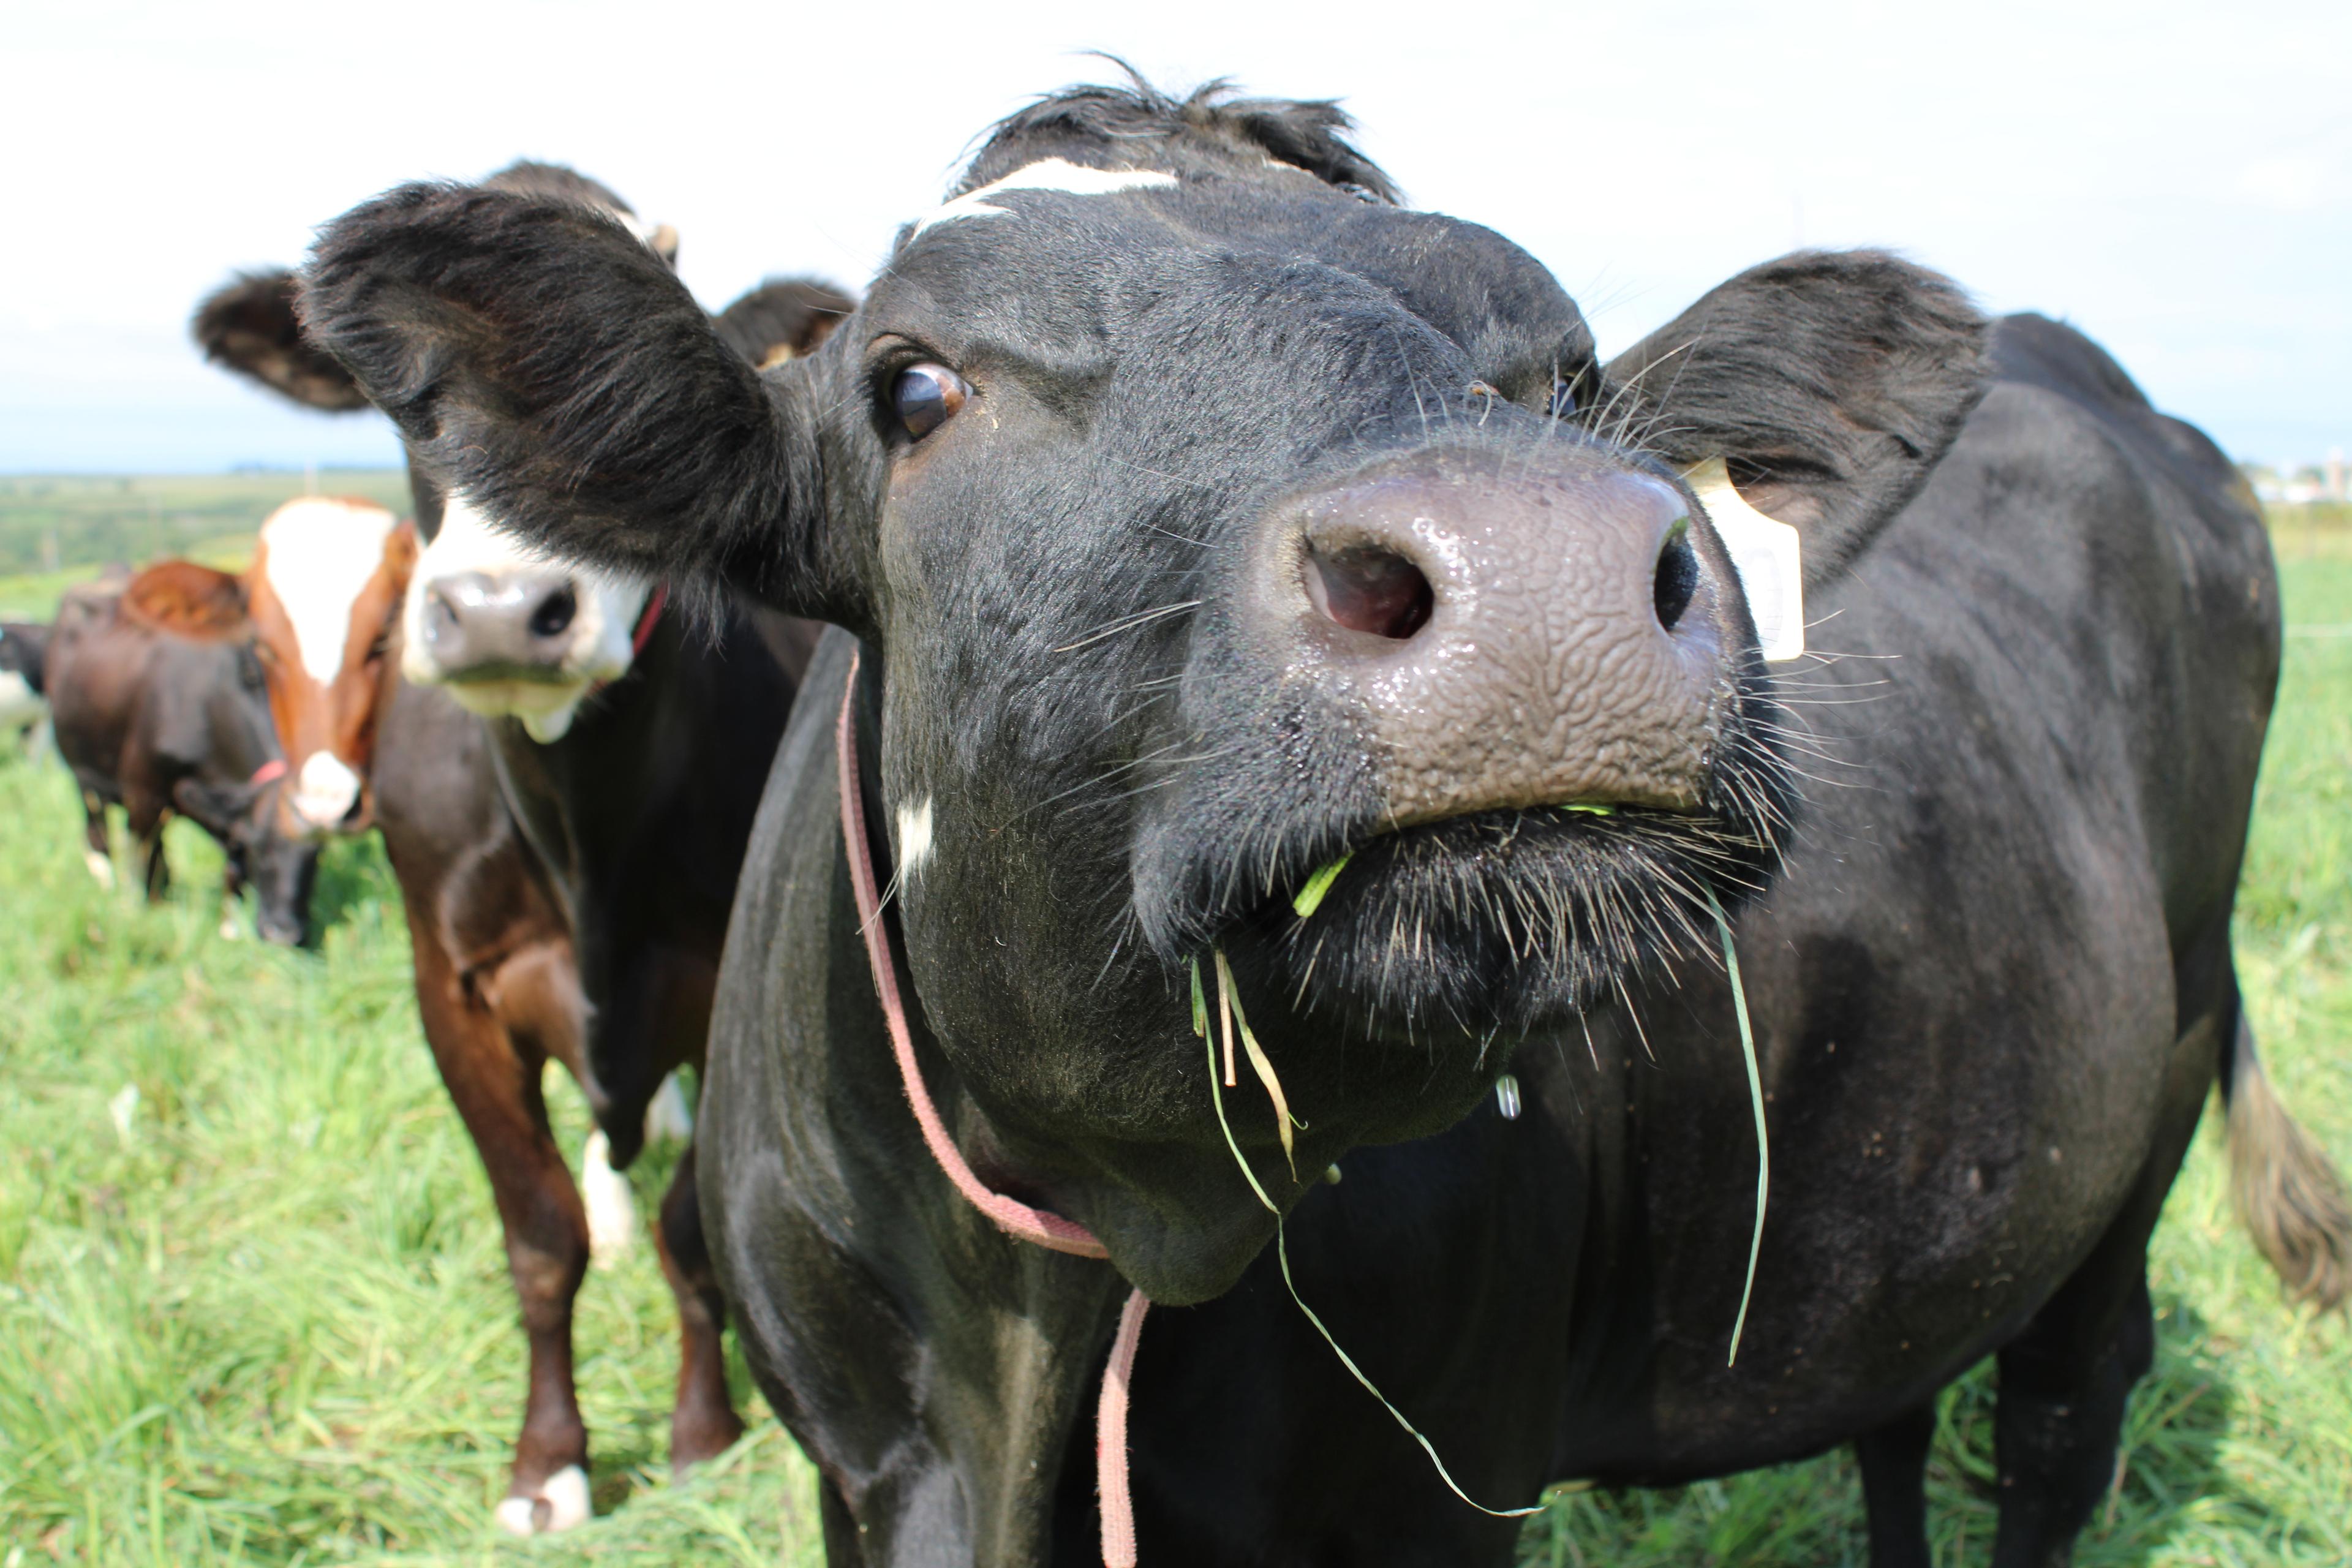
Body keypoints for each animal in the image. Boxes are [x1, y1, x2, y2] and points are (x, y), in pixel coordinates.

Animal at [48, 562, 315, 940]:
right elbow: (146, 860)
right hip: (83, 774)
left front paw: (229, 929)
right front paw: (147, 915)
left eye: (317, 854)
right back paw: (109, 884)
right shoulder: (143, 794)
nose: (285, 933)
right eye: (259, 846)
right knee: (99, 834)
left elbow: (230, 871)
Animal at [200, 159, 846, 1532]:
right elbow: (539, 1233)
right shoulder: (452, 991)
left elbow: (694, 1224)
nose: (504, 611)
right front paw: (549, 1462)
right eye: (403, 393)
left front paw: (700, 1432)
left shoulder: (723, 982)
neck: (577, 827)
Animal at [298, 76, 2352, 1568]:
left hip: (2150, 1087)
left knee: (2061, 1411)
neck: (1060, 1307)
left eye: (1567, 376)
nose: (1538, 561)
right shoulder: (855, 1463)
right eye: (914, 386)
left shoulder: (1439, 1484)